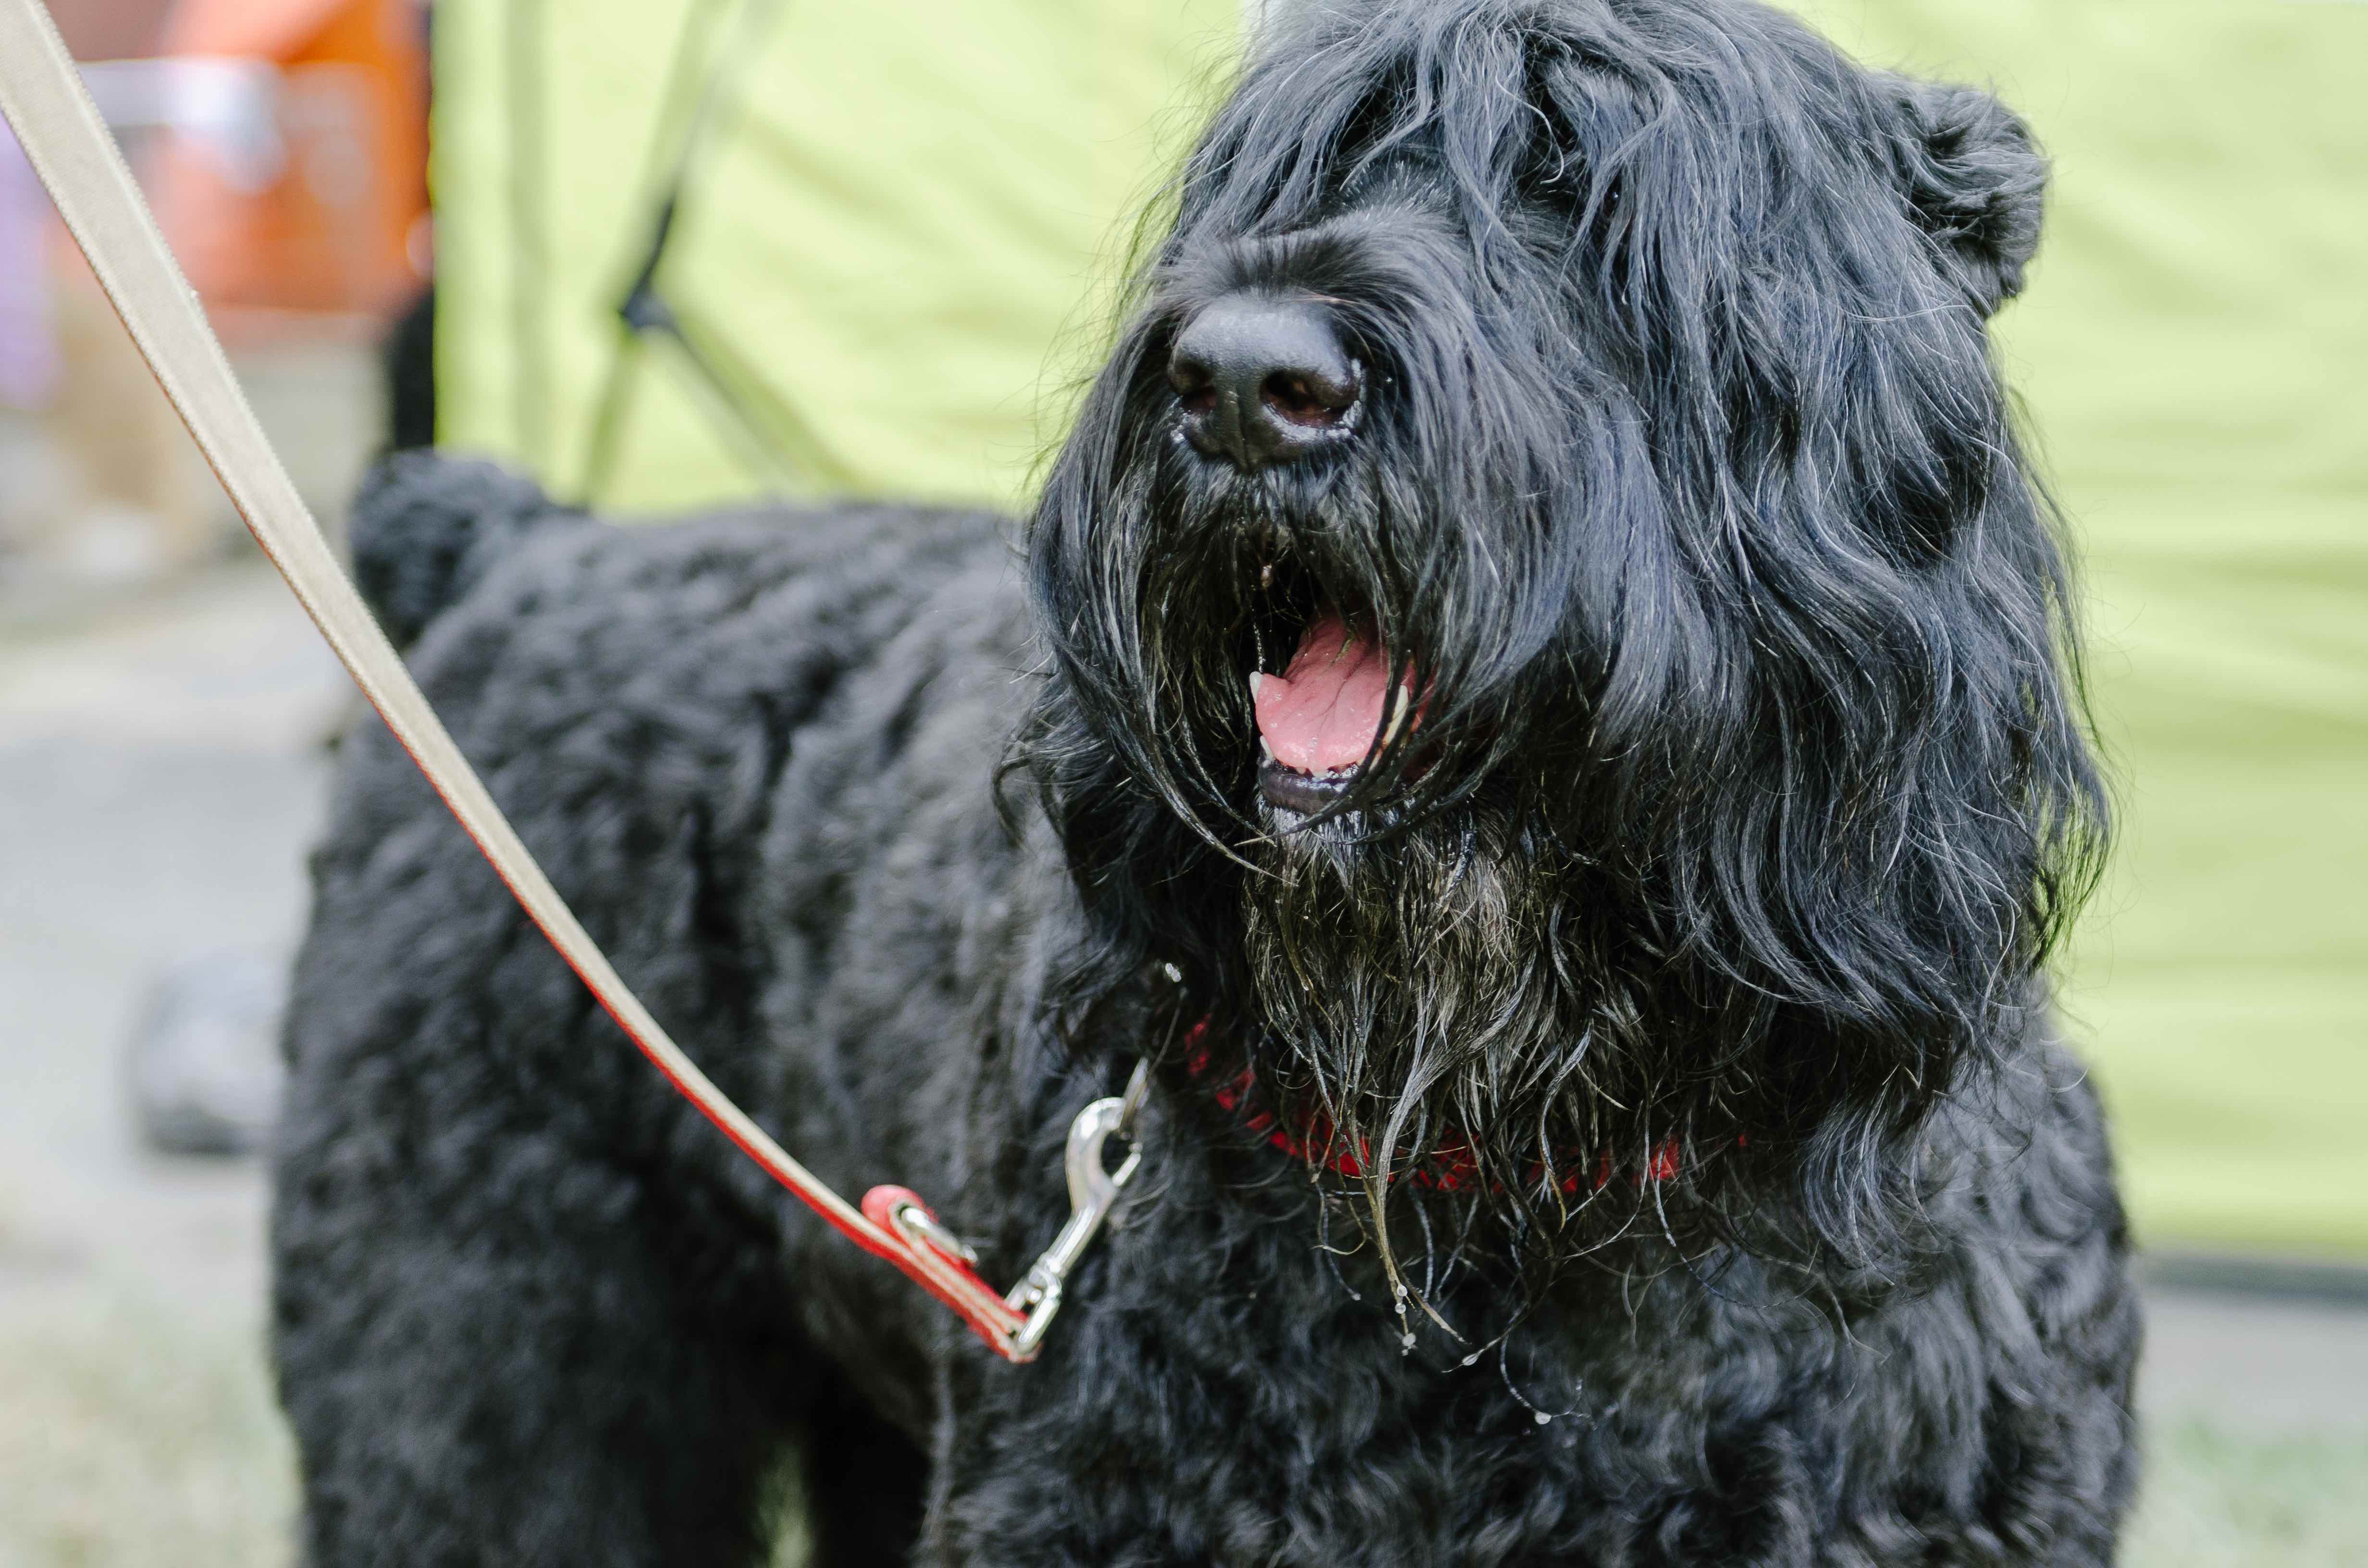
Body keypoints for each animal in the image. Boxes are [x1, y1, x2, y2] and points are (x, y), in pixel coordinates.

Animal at [277, 3, 2150, 1568]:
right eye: (1286, 168)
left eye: (1579, 193)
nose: (1245, 380)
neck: (1547, 1176)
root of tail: (524, 550)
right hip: (488, 1356)